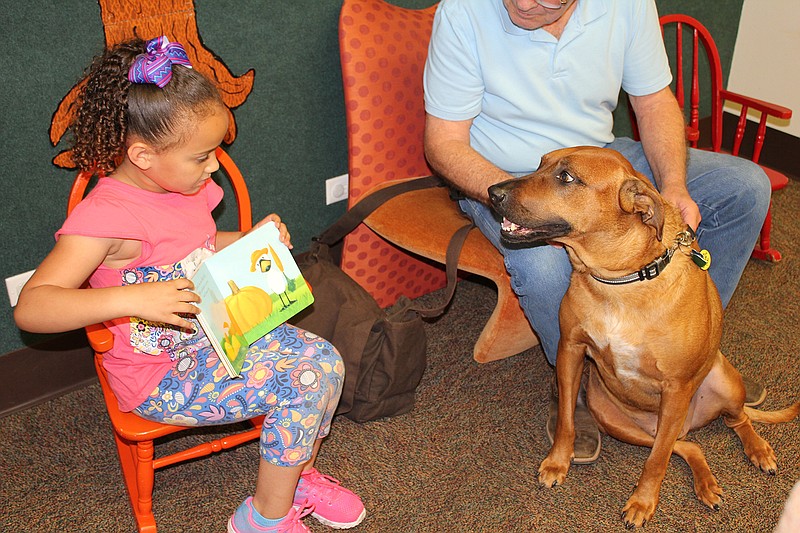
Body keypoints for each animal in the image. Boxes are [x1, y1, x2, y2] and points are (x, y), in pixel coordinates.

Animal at [488, 145, 800, 528]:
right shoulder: (570, 350)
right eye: (539, 164)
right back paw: (706, 482)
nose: (492, 192)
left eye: (566, 177)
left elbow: (655, 463)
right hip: (616, 417)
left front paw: (642, 502)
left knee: (732, 421)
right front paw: (558, 462)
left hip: (719, 386)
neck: (620, 280)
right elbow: (565, 421)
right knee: (688, 446)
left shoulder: (676, 387)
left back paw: (758, 450)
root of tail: (690, 424)